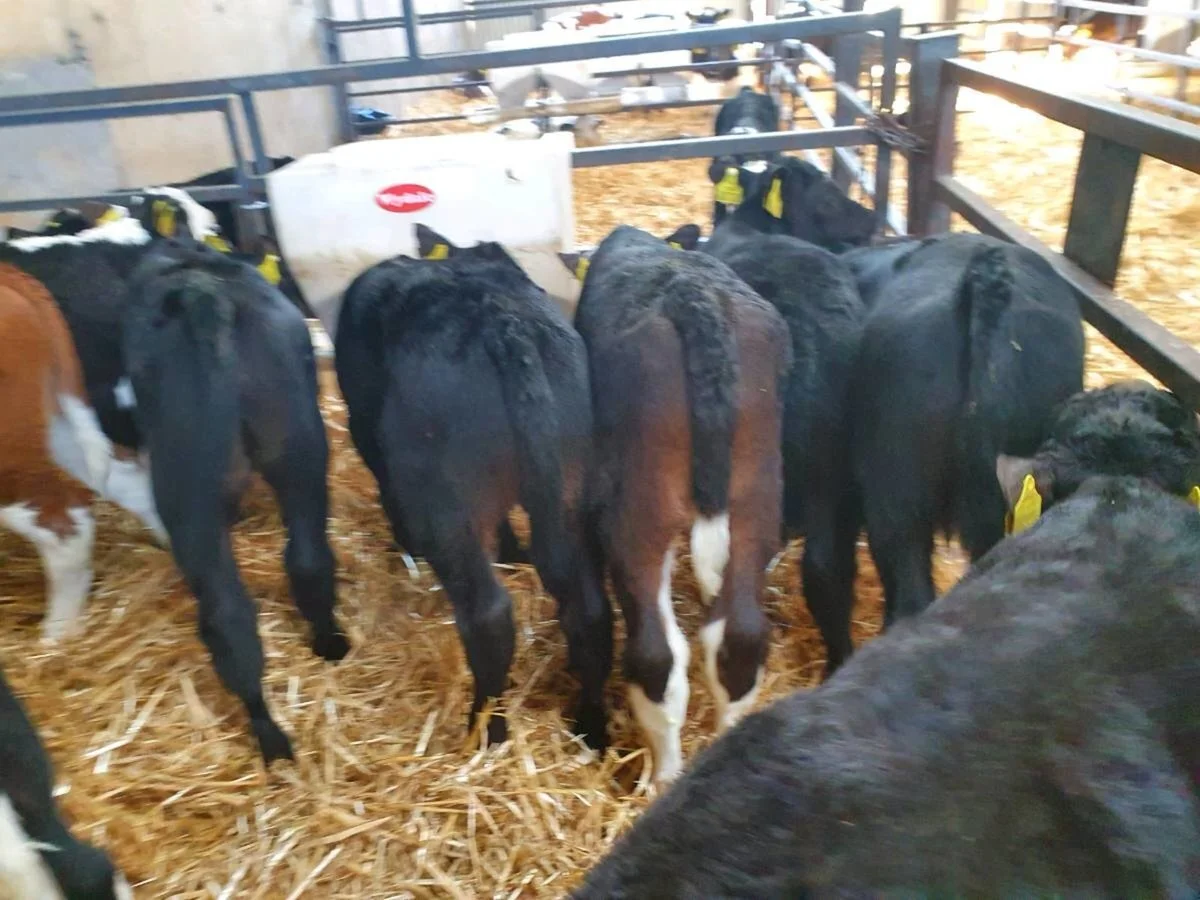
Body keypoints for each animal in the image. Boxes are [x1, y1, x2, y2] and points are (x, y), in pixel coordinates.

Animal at [335, 225, 611, 750]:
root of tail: (504, 324)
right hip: (573, 488)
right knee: (589, 611)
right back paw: (593, 727)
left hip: (448, 504)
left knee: (488, 615)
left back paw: (487, 730)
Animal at [571, 225, 790, 783]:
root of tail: (693, 298)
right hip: (756, 494)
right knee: (738, 637)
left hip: (639, 511)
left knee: (656, 654)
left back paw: (664, 774)